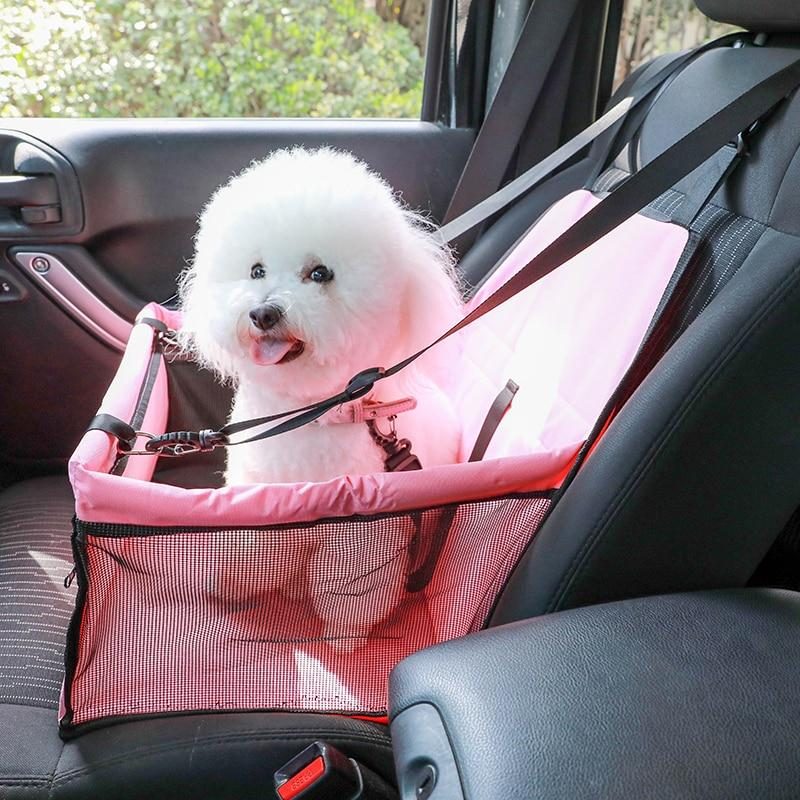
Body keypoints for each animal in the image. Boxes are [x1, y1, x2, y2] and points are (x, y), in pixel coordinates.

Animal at [175, 145, 462, 648]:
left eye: (320, 273)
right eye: (256, 270)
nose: (263, 312)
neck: (308, 412)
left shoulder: (361, 534)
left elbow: (350, 590)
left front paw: (344, 637)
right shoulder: (260, 498)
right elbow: (252, 552)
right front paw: (233, 588)